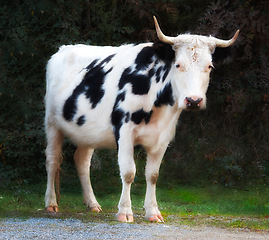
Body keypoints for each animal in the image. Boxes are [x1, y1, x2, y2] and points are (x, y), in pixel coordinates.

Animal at [44, 16, 239, 222]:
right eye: (178, 65)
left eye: (209, 66)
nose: (194, 100)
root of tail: (63, 49)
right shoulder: (124, 132)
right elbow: (129, 172)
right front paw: (124, 212)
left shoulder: (163, 136)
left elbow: (152, 175)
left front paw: (153, 212)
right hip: (51, 123)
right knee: (53, 159)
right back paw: (51, 203)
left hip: (87, 132)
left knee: (82, 161)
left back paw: (92, 203)